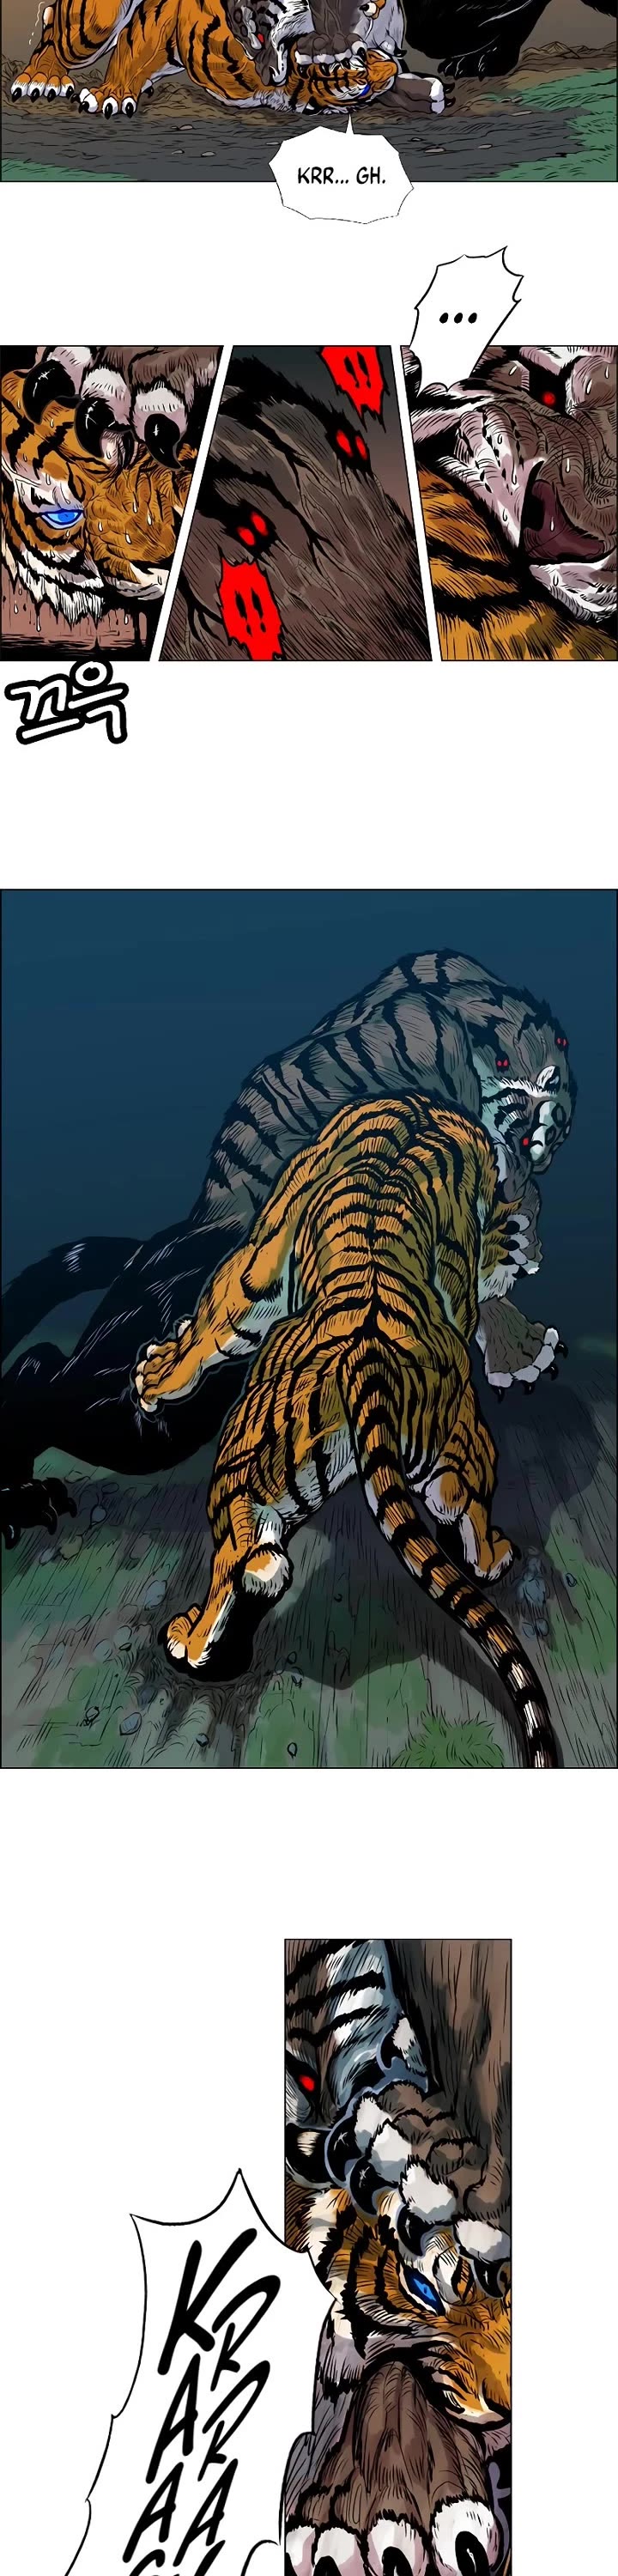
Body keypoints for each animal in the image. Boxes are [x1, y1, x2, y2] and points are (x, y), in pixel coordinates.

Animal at [1, 949, 574, 1550]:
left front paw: (523, 1342)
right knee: (43, 1372)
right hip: (134, 1417)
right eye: (506, 1058)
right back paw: (23, 1497)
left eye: (557, 1061)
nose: (545, 1125)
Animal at [9, 0, 443, 119]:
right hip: (93, 24)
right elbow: (133, 48)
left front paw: (431, 92)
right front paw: (111, 94)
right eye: (351, 67)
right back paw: (40, 79)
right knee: (54, 29)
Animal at [132, 1092, 559, 1765]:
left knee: (243, 1555)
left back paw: (191, 1640)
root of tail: (374, 1360)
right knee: (456, 1499)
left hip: (243, 1452)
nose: (534, 1256)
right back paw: (493, 1556)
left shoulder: (257, 1257)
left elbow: (210, 1326)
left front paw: (153, 1378)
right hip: (437, 1443)